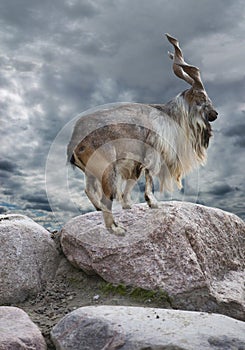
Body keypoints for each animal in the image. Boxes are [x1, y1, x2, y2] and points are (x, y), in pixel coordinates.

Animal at [67, 34, 218, 235]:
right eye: (201, 98)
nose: (215, 114)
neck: (172, 117)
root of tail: (76, 144)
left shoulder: (135, 163)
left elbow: (133, 181)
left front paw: (128, 205)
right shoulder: (153, 154)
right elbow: (149, 177)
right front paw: (152, 203)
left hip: (92, 172)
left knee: (89, 191)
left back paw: (101, 211)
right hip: (107, 170)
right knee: (105, 197)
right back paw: (116, 229)